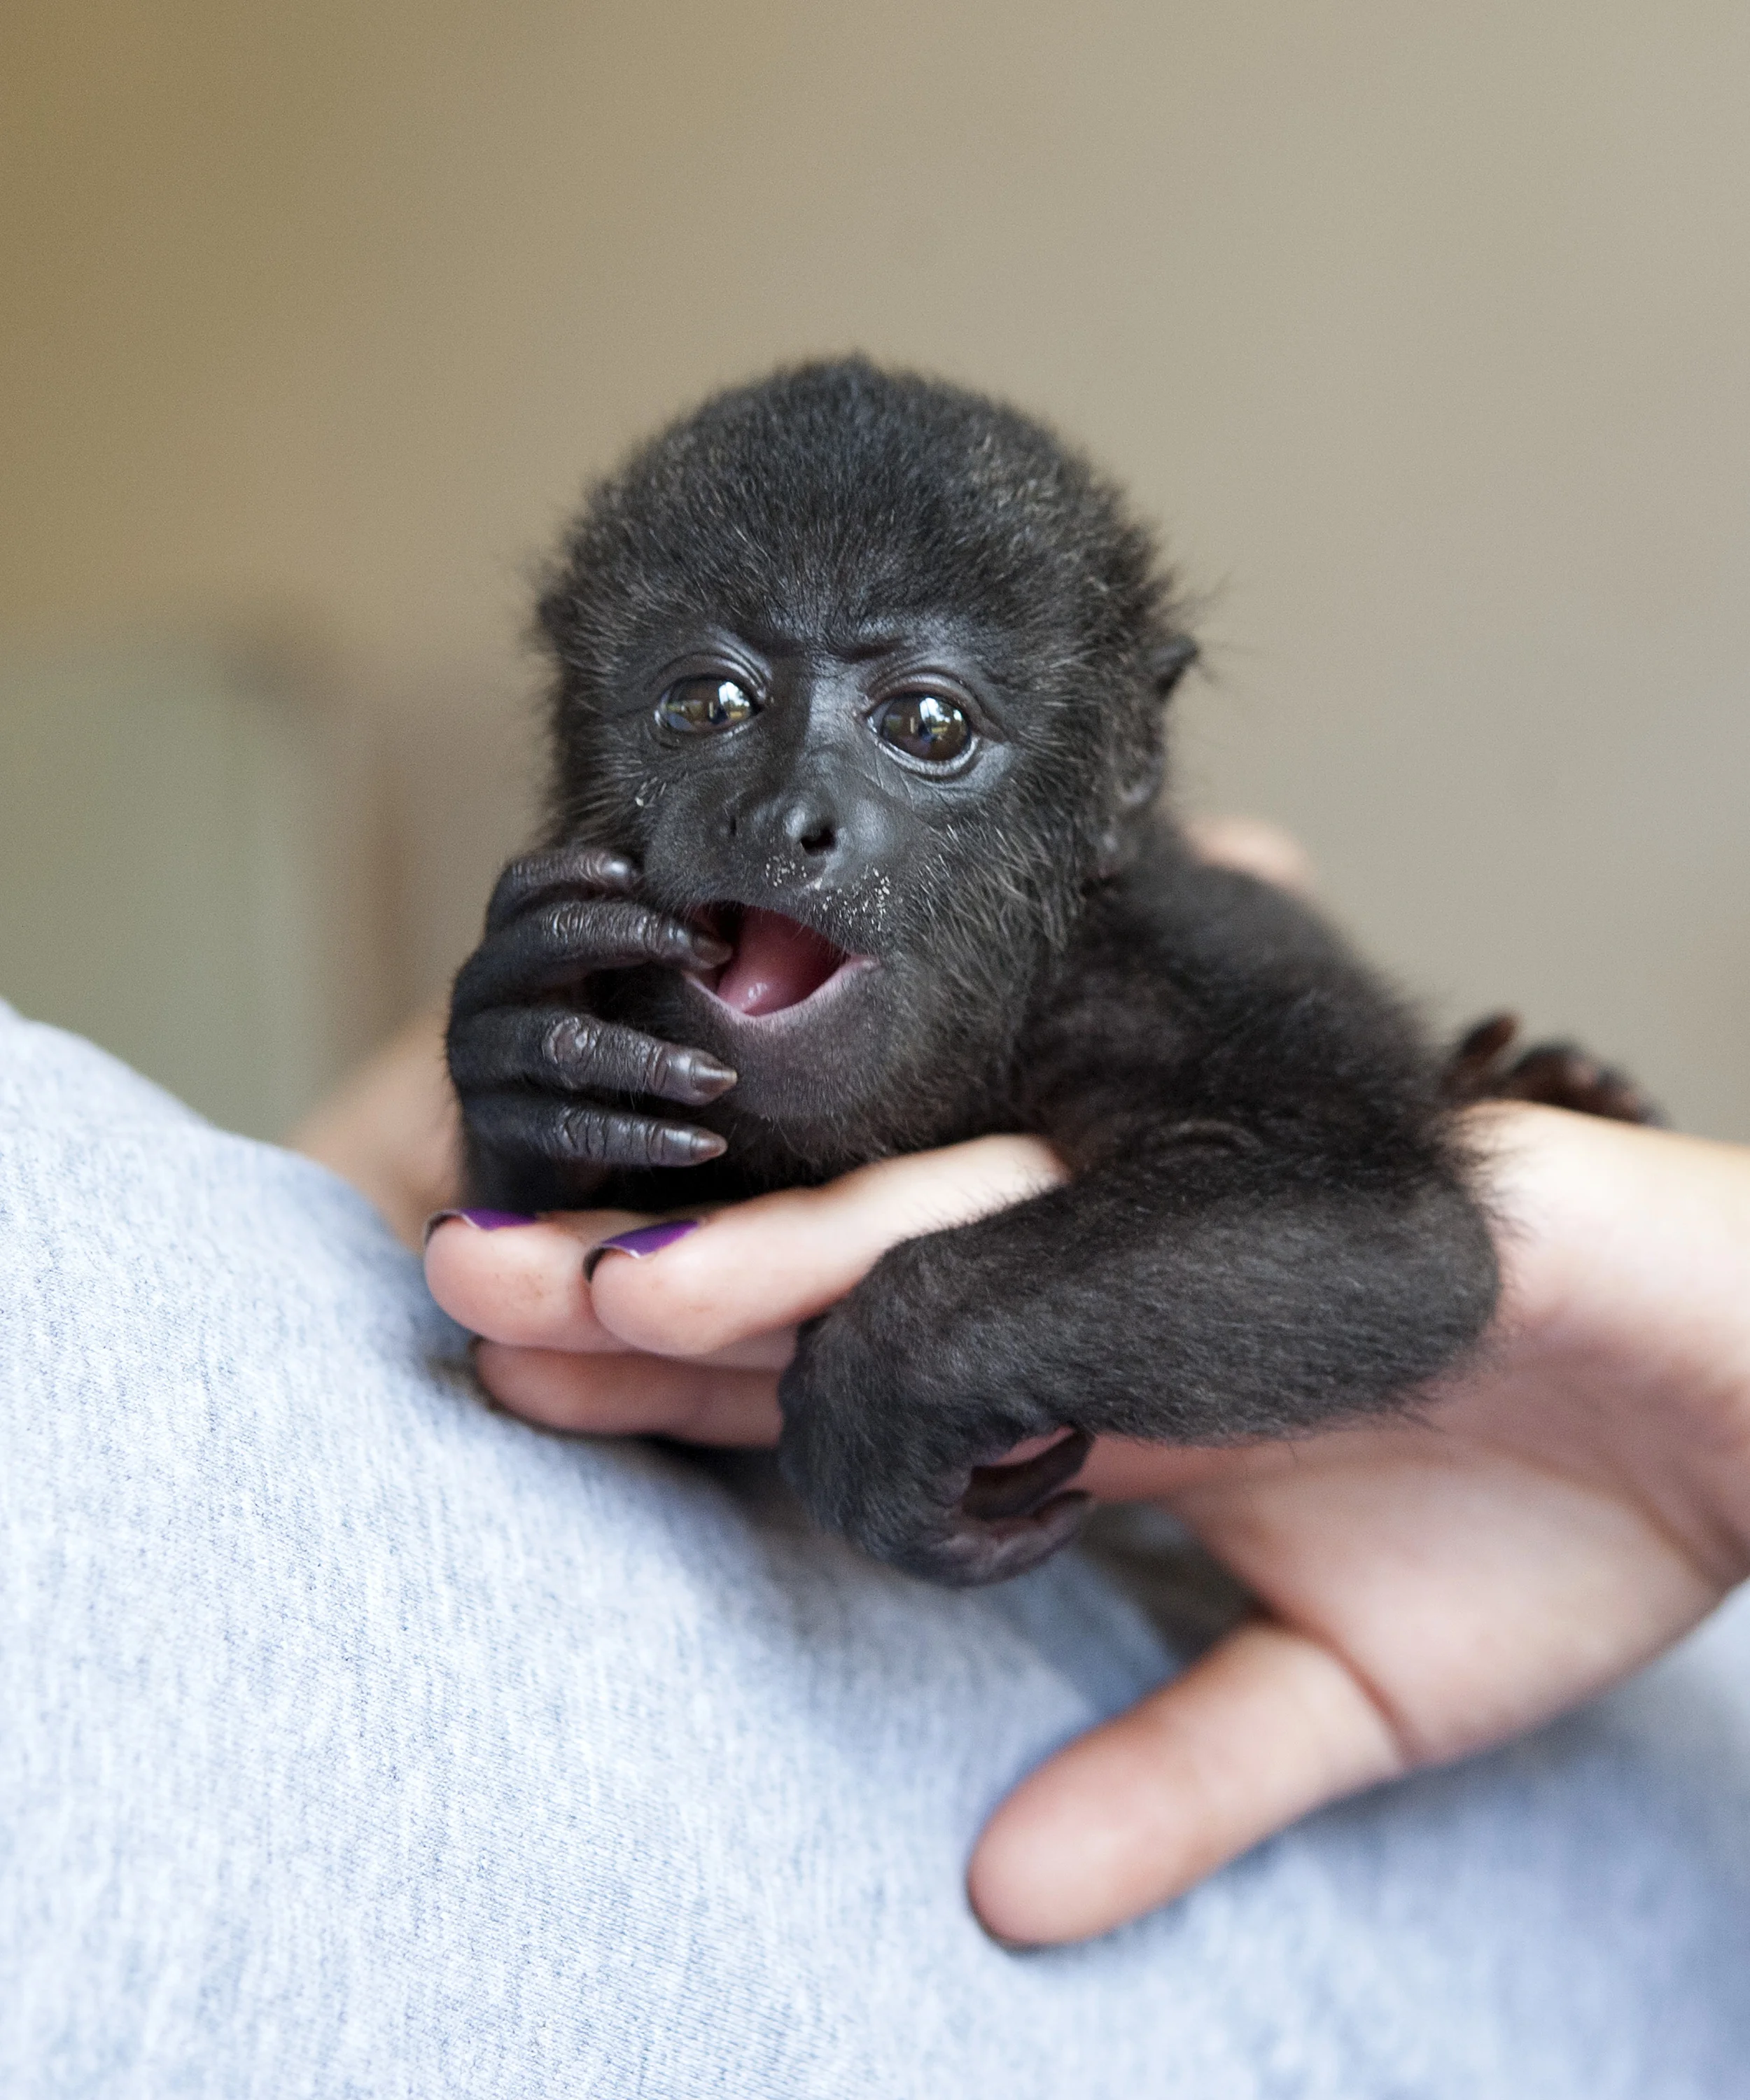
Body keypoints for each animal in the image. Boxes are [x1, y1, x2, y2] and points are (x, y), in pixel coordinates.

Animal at [447, 358, 1656, 1588]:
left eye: (928, 725)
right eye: (707, 707)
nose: (786, 820)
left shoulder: (1180, 956)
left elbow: (1391, 1225)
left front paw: (886, 1378)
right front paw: (527, 1053)